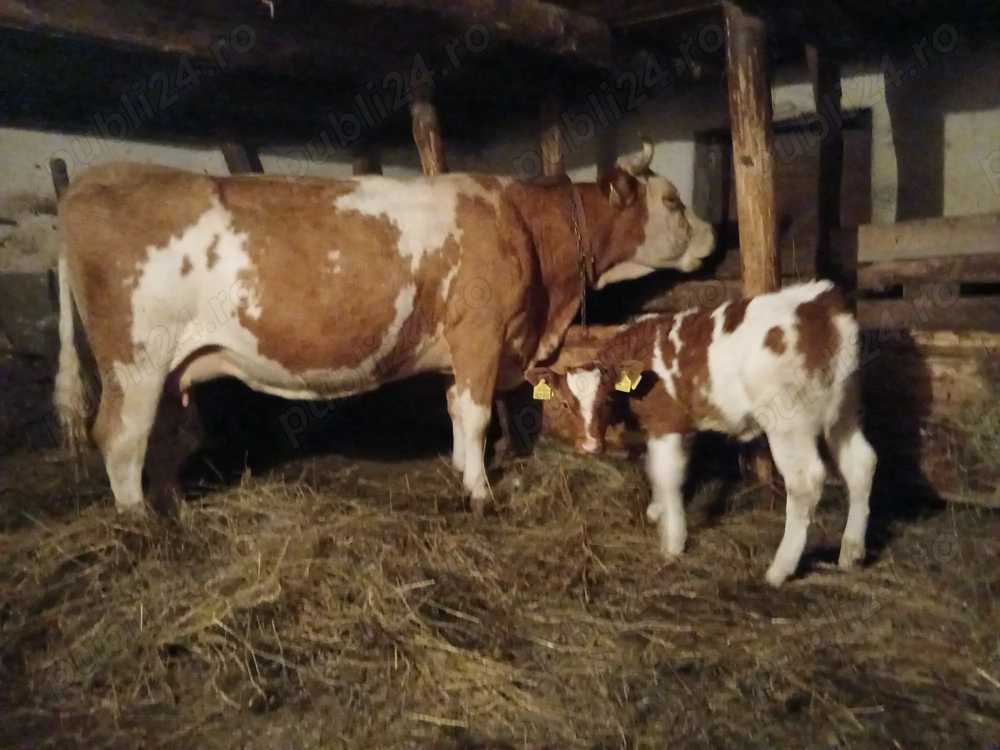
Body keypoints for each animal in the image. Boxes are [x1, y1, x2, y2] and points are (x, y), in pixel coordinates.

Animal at [52, 139, 716, 516]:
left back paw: (168, 507)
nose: (713, 236)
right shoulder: (480, 331)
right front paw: (481, 494)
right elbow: (476, 414)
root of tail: (92, 181)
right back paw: (142, 525)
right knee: (119, 435)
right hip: (135, 359)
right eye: (674, 201)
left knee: (153, 437)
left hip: (164, 367)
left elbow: (457, 411)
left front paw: (462, 476)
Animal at [524, 280, 877, 587]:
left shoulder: (666, 423)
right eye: (566, 403)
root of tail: (821, 300)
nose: (590, 445)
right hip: (845, 408)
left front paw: (673, 542)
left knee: (806, 482)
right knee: (861, 464)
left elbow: (668, 476)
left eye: (607, 400)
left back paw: (780, 569)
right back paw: (851, 552)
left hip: (789, 423)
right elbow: (657, 469)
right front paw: (657, 511)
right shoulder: (672, 427)